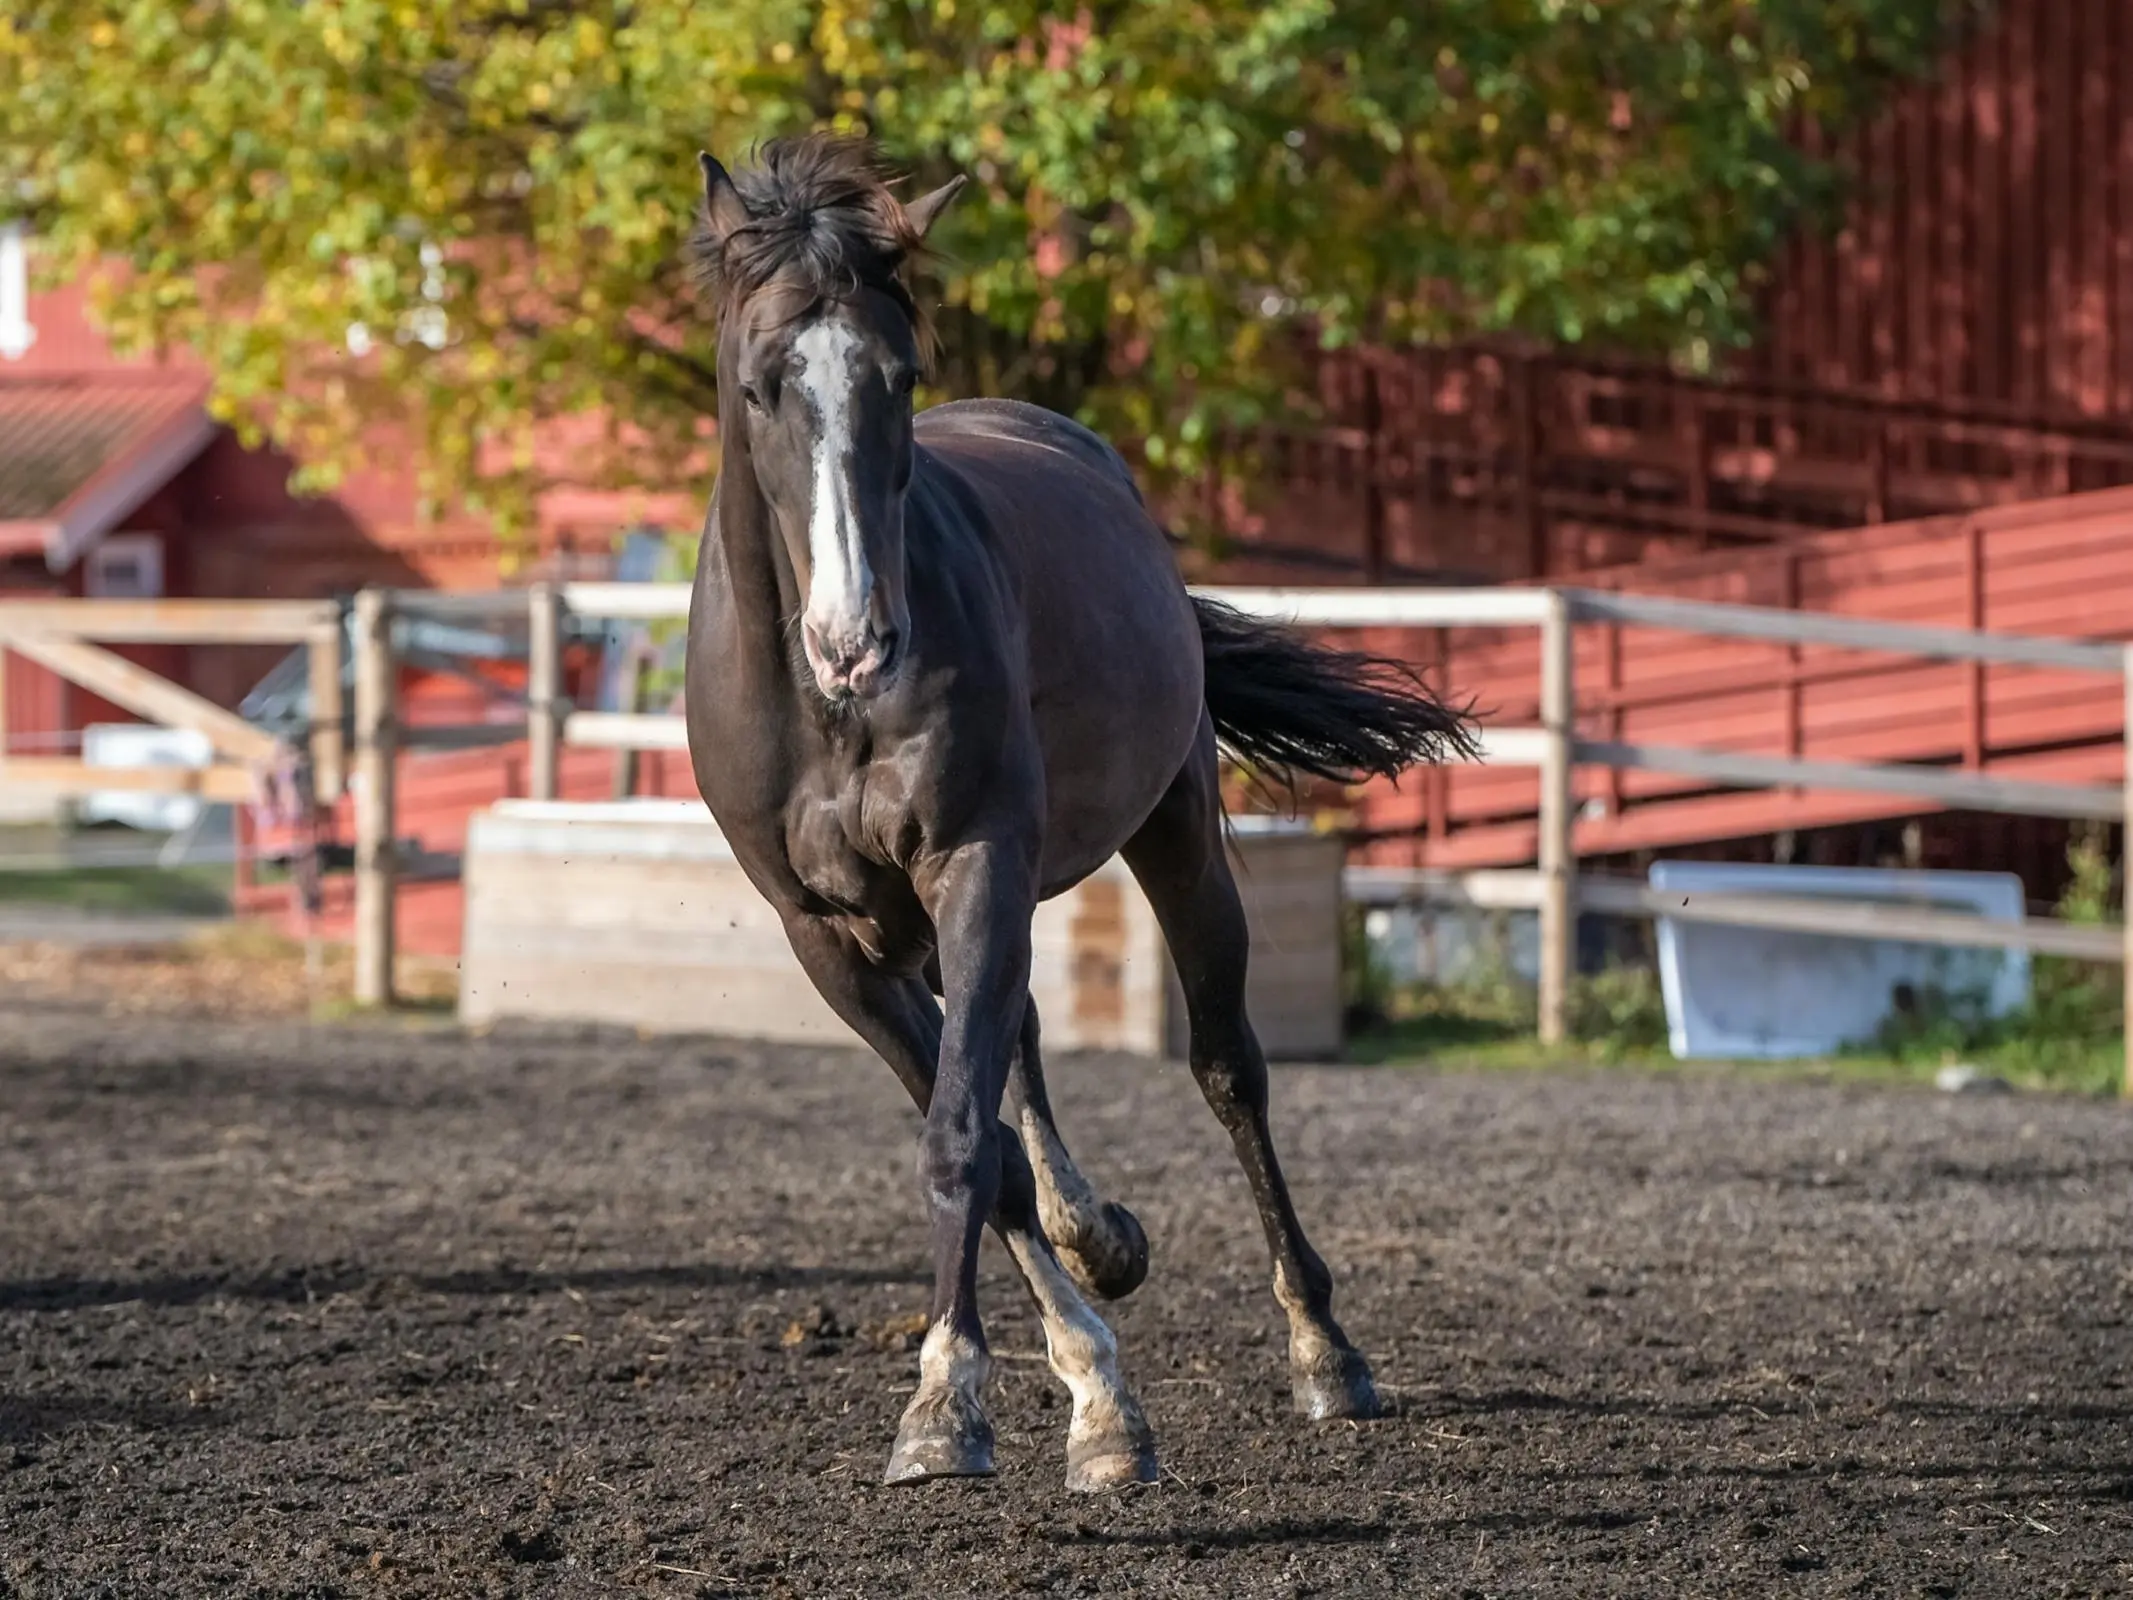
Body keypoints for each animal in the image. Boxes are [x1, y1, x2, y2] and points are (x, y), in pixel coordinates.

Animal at [691, 134, 1476, 1493]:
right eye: (759, 385)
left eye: (900, 375)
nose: (858, 641)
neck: (821, 710)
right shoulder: (825, 936)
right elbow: (983, 1134)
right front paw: (1087, 1381)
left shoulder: (977, 864)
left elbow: (960, 1132)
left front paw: (949, 1406)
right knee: (1023, 1046)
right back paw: (1095, 1239)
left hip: (1176, 834)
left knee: (1226, 1068)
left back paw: (1324, 1350)